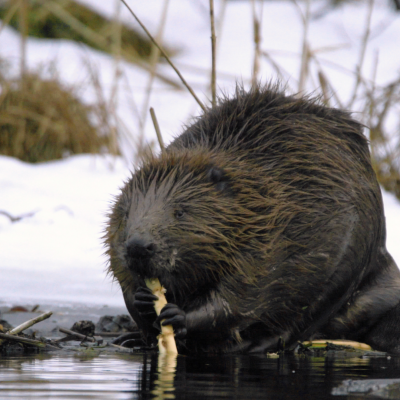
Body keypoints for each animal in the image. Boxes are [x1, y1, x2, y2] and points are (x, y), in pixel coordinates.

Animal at [104, 83, 400, 354]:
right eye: (126, 214)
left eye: (180, 211)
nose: (138, 247)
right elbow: (124, 280)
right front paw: (142, 299)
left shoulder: (263, 243)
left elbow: (238, 299)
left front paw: (178, 315)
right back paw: (129, 339)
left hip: (348, 263)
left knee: (297, 323)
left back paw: (250, 345)